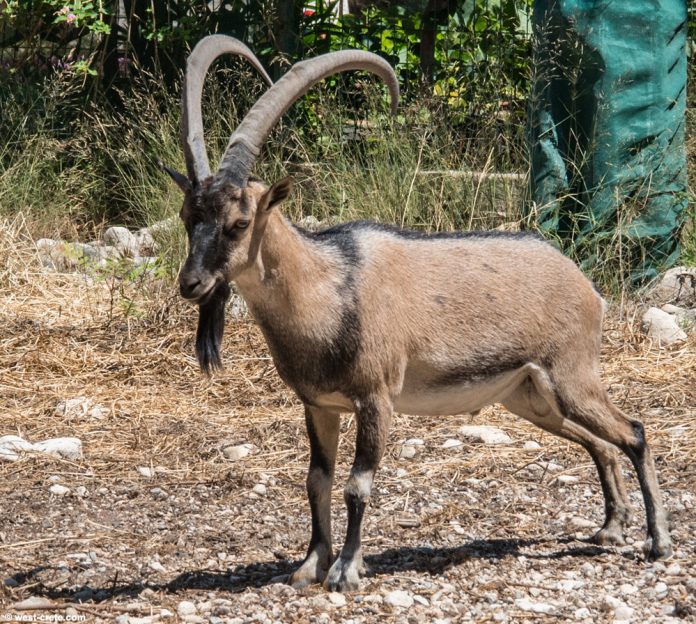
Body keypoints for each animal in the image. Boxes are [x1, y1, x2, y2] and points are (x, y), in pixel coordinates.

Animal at [162, 36, 668, 592]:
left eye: (239, 222)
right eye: (188, 217)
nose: (191, 283)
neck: (328, 288)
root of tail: (585, 285)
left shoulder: (376, 398)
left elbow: (357, 486)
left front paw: (346, 571)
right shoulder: (318, 404)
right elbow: (316, 480)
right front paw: (310, 564)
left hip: (571, 373)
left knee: (634, 432)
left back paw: (657, 541)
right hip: (532, 396)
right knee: (600, 441)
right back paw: (611, 528)